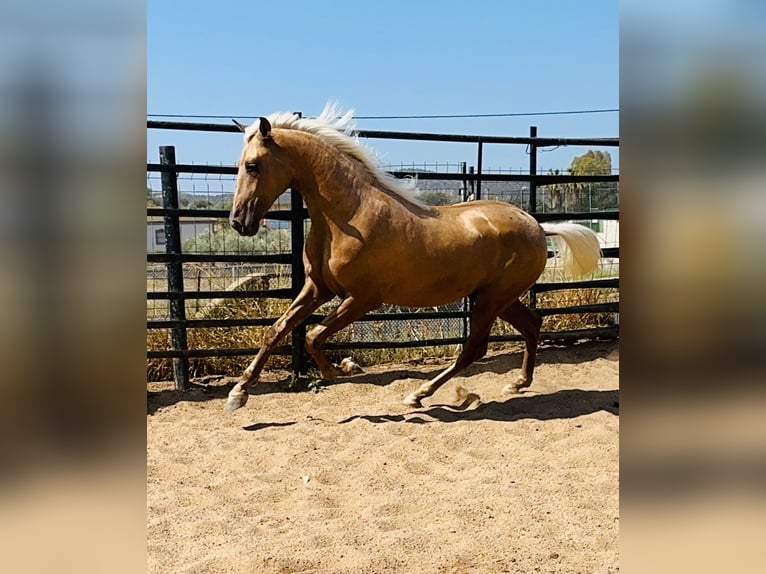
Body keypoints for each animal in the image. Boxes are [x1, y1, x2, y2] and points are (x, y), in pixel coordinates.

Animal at [225, 106, 604, 412]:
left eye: (253, 166)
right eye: (239, 166)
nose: (239, 222)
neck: (348, 215)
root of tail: (538, 226)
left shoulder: (363, 298)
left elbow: (313, 336)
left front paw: (344, 369)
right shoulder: (318, 288)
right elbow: (278, 330)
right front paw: (238, 392)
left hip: (492, 299)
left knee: (473, 349)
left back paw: (418, 395)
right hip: (498, 297)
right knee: (531, 325)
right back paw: (516, 383)